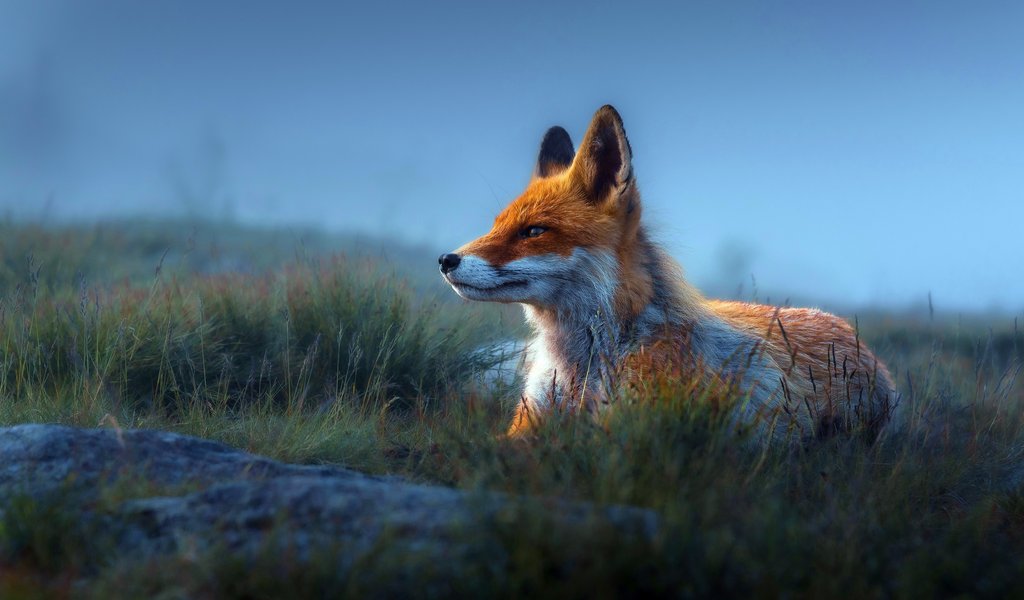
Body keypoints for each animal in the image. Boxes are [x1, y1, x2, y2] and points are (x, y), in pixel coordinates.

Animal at [439, 105, 898, 442]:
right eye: (495, 225)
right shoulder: (528, 422)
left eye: (534, 231)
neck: (583, 370)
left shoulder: (628, 430)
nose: (446, 260)